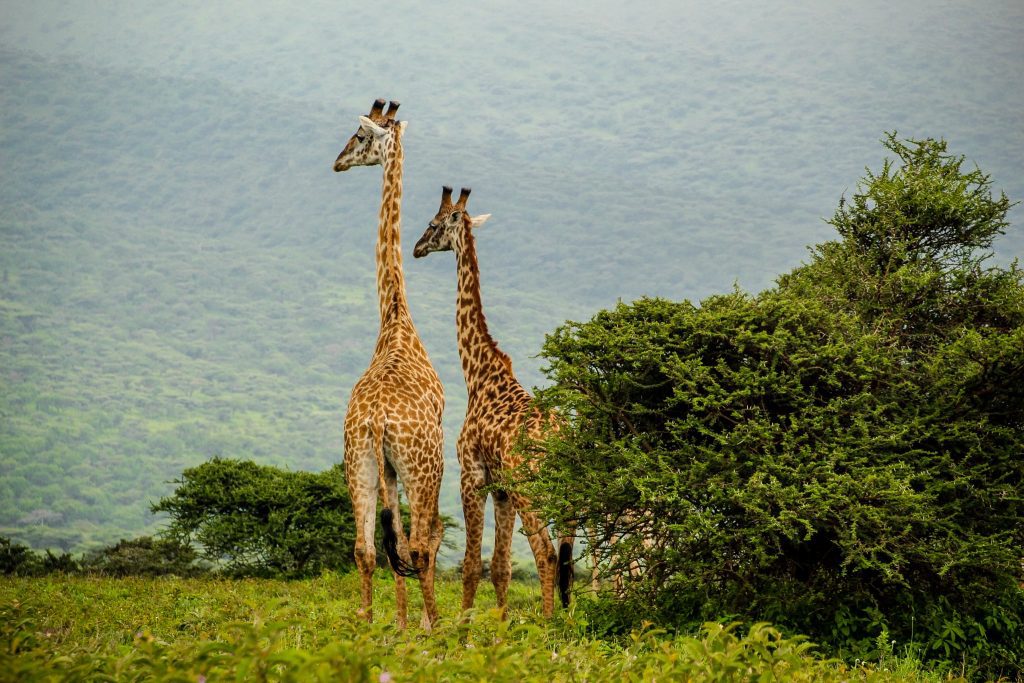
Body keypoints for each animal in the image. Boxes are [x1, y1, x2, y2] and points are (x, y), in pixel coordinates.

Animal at [411, 184, 573, 618]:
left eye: (434, 223)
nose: (416, 248)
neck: (479, 374)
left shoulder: (473, 476)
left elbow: (472, 565)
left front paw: (463, 628)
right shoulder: (501, 488)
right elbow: (500, 568)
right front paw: (501, 628)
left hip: (532, 489)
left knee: (546, 553)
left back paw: (549, 624)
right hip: (563, 492)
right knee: (566, 557)